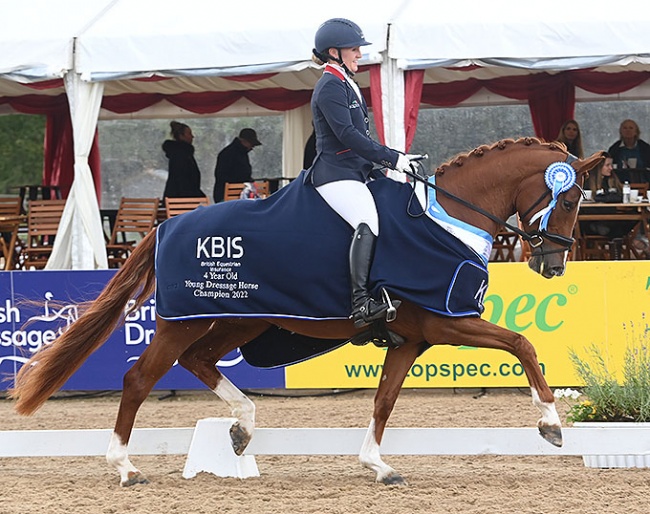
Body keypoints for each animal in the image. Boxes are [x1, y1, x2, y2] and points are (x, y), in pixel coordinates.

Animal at [11, 139, 604, 484]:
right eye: (571, 199)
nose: (552, 265)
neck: (448, 219)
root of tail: (166, 225)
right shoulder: (448, 320)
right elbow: (522, 343)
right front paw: (551, 424)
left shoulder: (413, 339)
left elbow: (385, 401)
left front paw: (376, 464)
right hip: (187, 322)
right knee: (139, 379)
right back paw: (125, 466)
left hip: (243, 319)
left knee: (199, 362)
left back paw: (241, 426)